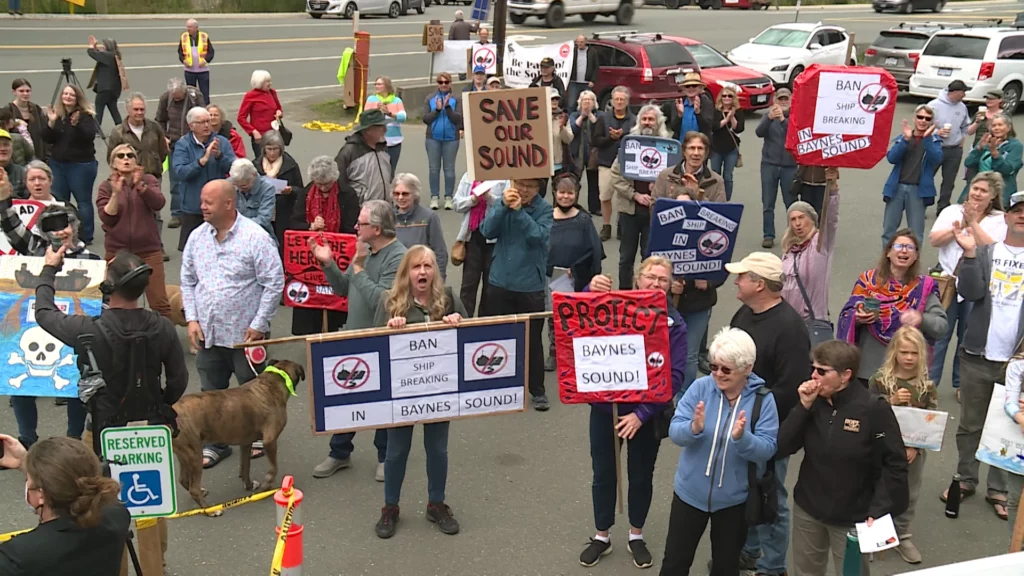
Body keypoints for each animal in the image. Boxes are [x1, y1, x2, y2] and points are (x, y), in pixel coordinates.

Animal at [172, 358, 303, 510]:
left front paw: (249, 485)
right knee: (193, 488)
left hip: (185, 455)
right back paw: (210, 510)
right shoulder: (270, 441)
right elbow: (273, 469)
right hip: (194, 454)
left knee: (183, 480)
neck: (273, 382)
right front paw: (266, 484)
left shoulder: (245, 444)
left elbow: (245, 468)